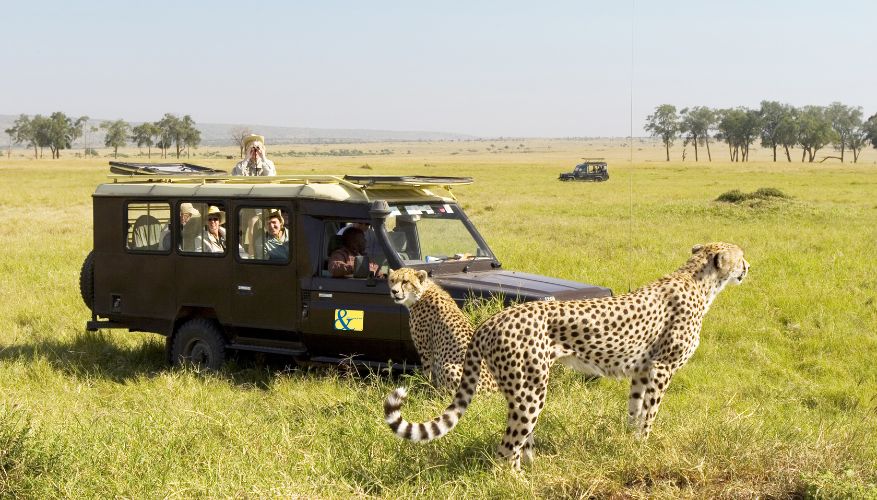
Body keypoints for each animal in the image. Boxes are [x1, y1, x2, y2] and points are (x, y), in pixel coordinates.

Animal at [382, 242, 744, 468]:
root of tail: (490, 320)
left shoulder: (643, 370)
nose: (748, 266)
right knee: (507, 447)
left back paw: (532, 472)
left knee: (520, 441)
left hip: (520, 388)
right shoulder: (661, 368)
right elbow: (650, 414)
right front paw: (643, 447)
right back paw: (518, 484)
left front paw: (630, 445)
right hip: (530, 389)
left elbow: (634, 410)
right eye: (741, 256)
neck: (699, 280)